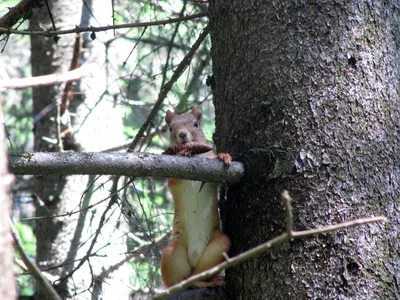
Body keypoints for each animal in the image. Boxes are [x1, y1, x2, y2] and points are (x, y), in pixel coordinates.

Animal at [160, 105, 231, 288]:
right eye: (170, 128)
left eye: (195, 124)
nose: (182, 134)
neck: (195, 155)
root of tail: (194, 254)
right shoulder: (172, 179)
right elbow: (172, 179)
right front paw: (181, 153)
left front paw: (224, 156)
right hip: (172, 253)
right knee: (182, 281)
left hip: (219, 247)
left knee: (198, 274)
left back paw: (209, 281)